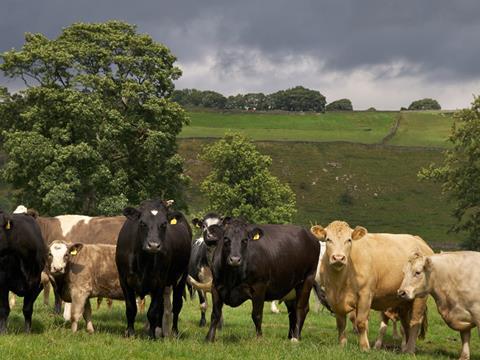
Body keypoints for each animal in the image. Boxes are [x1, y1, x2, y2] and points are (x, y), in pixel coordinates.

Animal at [115, 200, 191, 338]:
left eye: (164, 224)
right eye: (142, 223)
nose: (154, 245)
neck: (143, 261)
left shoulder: (160, 281)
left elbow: (152, 311)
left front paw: (151, 335)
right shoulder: (124, 280)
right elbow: (131, 308)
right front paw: (130, 333)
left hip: (181, 277)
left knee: (177, 305)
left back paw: (173, 332)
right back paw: (159, 330)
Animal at [312, 219, 432, 352]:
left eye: (349, 240)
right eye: (328, 239)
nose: (338, 257)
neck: (341, 281)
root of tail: (419, 240)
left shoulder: (365, 295)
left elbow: (361, 322)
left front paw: (364, 347)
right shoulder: (333, 298)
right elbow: (341, 323)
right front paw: (342, 345)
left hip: (420, 298)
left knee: (415, 323)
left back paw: (410, 350)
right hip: (403, 302)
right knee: (406, 325)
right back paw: (405, 348)